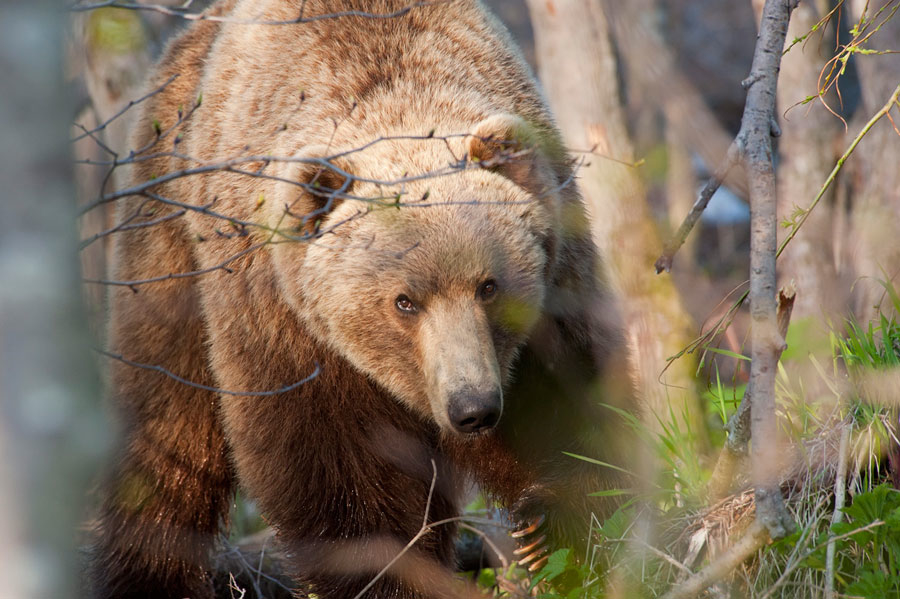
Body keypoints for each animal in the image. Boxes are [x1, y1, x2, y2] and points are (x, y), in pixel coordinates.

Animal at [88, 0, 632, 596]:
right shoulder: (289, 329)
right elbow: (342, 482)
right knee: (166, 429)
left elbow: (575, 407)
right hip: (168, 240)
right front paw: (391, 573)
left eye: (489, 286)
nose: (472, 408)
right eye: (404, 302)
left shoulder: (551, 293)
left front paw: (555, 531)